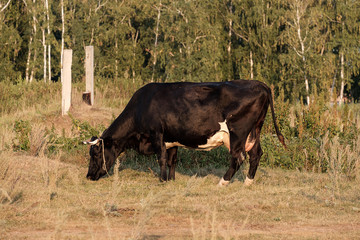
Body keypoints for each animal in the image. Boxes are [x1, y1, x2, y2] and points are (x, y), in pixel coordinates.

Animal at [83, 80, 286, 186]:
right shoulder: (172, 139)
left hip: (238, 133)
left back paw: (223, 182)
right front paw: (171, 180)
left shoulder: (157, 134)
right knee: (256, 154)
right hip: (253, 132)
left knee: (238, 157)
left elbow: (162, 159)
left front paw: (162, 180)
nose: (89, 176)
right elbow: (172, 160)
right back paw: (248, 182)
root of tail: (259, 84)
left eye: (95, 153)